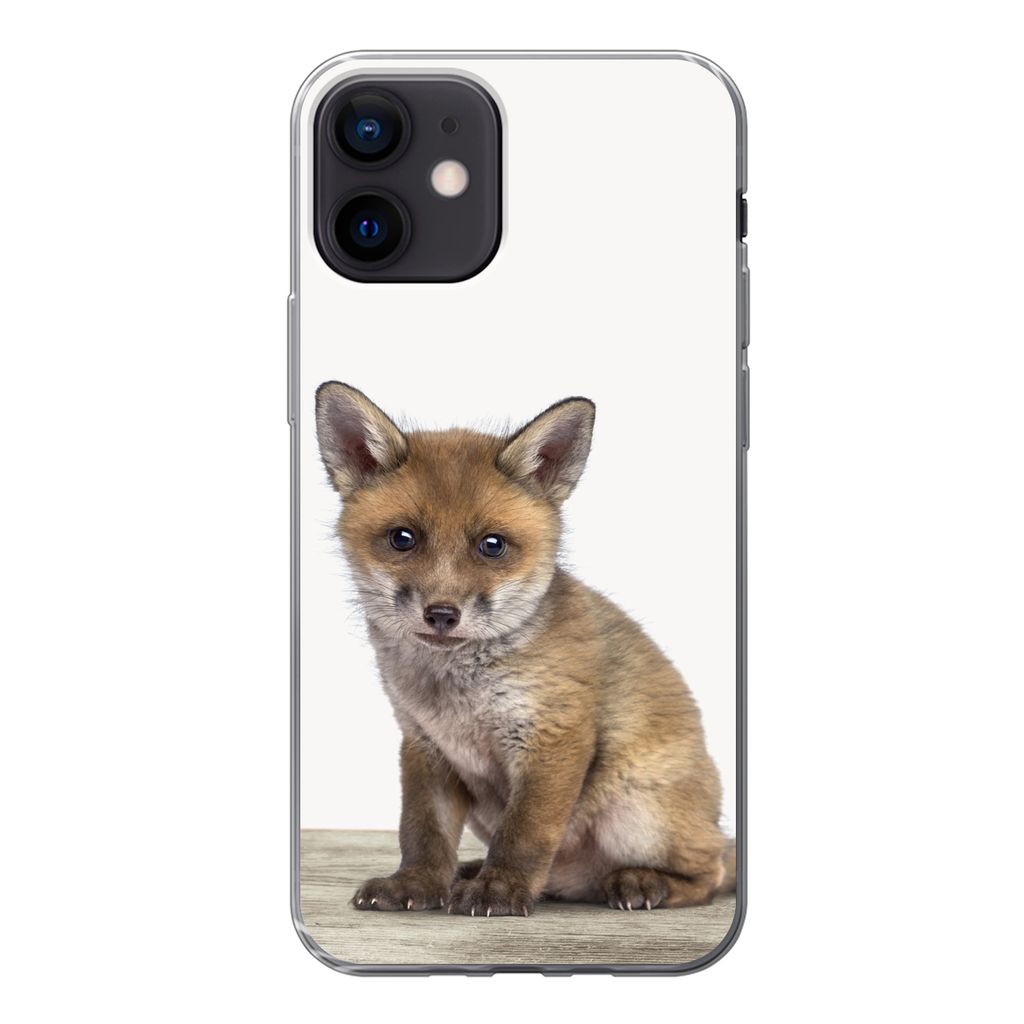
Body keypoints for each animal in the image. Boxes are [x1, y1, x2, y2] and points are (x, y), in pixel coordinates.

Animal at [314, 381, 735, 917]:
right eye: (402, 538)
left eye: (492, 545)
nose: (442, 614)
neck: (457, 696)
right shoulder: (424, 745)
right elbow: (423, 832)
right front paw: (416, 884)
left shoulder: (554, 737)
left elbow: (526, 834)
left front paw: (500, 888)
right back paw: (472, 871)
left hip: (638, 813)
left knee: (711, 873)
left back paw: (644, 882)